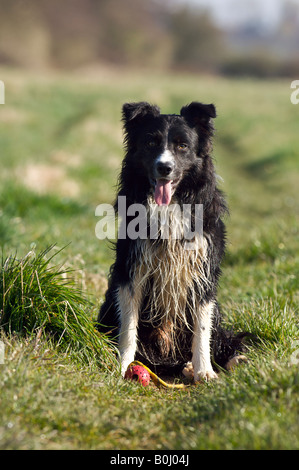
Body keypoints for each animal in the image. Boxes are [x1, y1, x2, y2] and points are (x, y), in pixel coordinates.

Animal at [98, 103, 248, 382]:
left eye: (182, 146)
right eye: (150, 142)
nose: (164, 167)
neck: (173, 203)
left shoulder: (203, 268)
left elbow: (202, 328)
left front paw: (204, 371)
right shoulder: (132, 267)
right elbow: (128, 325)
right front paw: (123, 366)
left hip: (218, 312)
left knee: (220, 338)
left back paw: (224, 362)